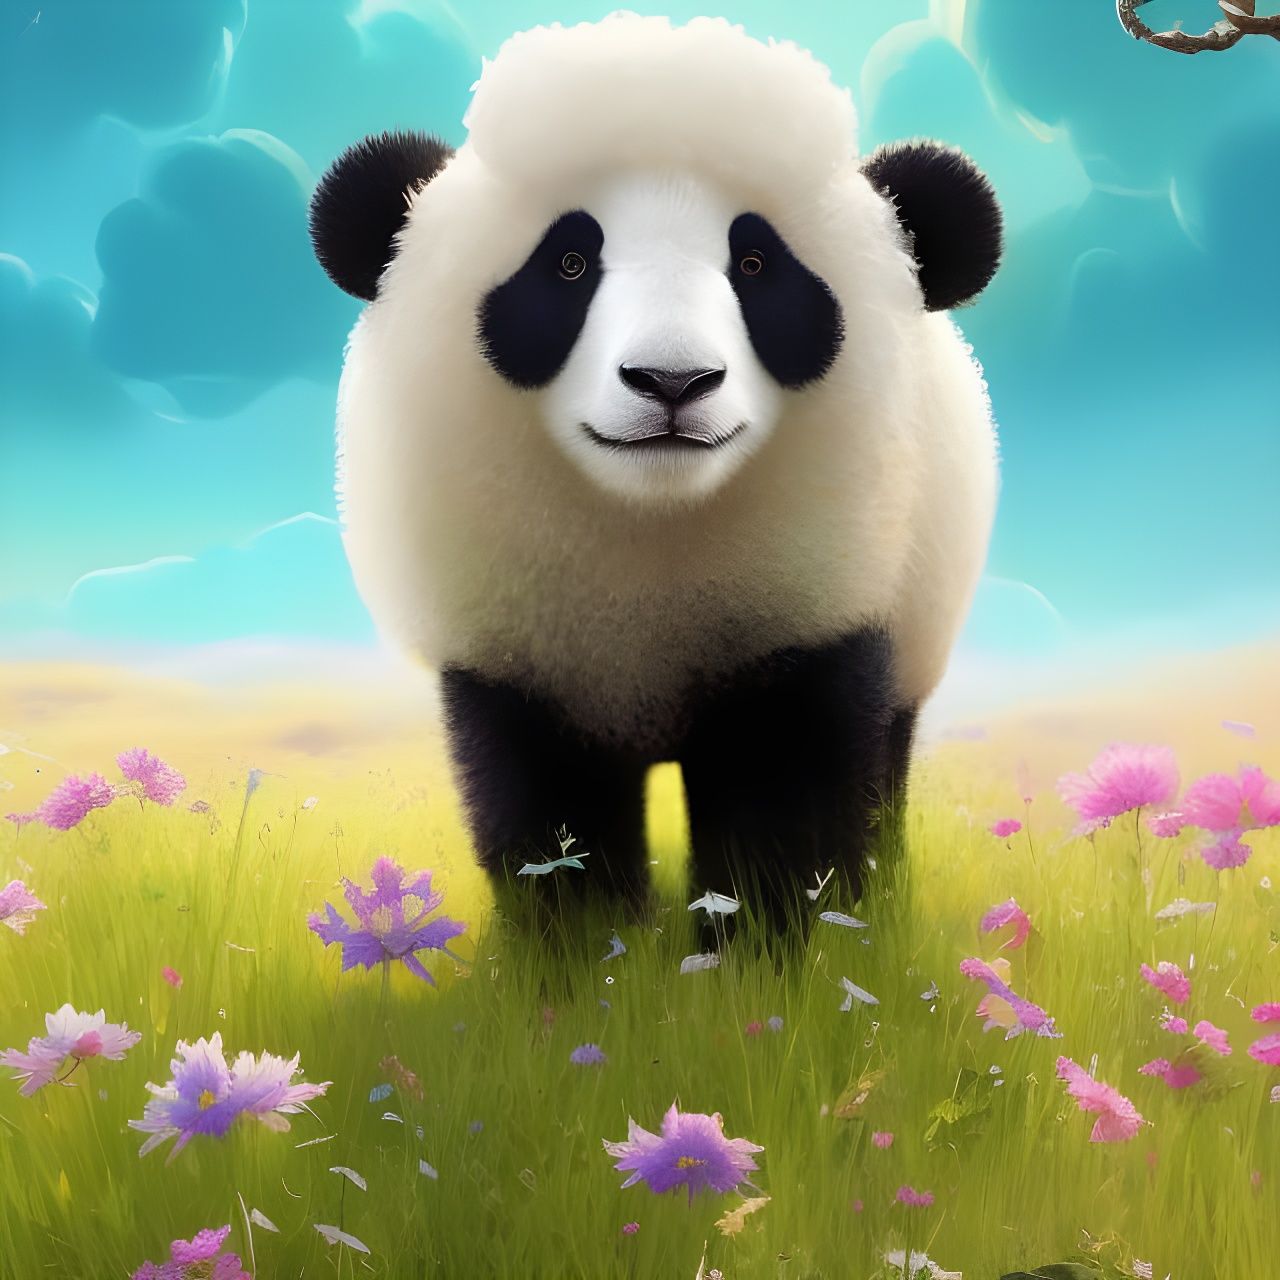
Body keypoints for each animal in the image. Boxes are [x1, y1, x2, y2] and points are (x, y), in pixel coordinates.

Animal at [309, 14, 1002, 925]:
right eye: (568, 264)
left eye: (756, 266)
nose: (673, 382)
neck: (650, 521)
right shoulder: (513, 643)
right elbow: (548, 815)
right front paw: (583, 953)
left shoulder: (814, 604)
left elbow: (788, 801)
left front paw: (773, 947)